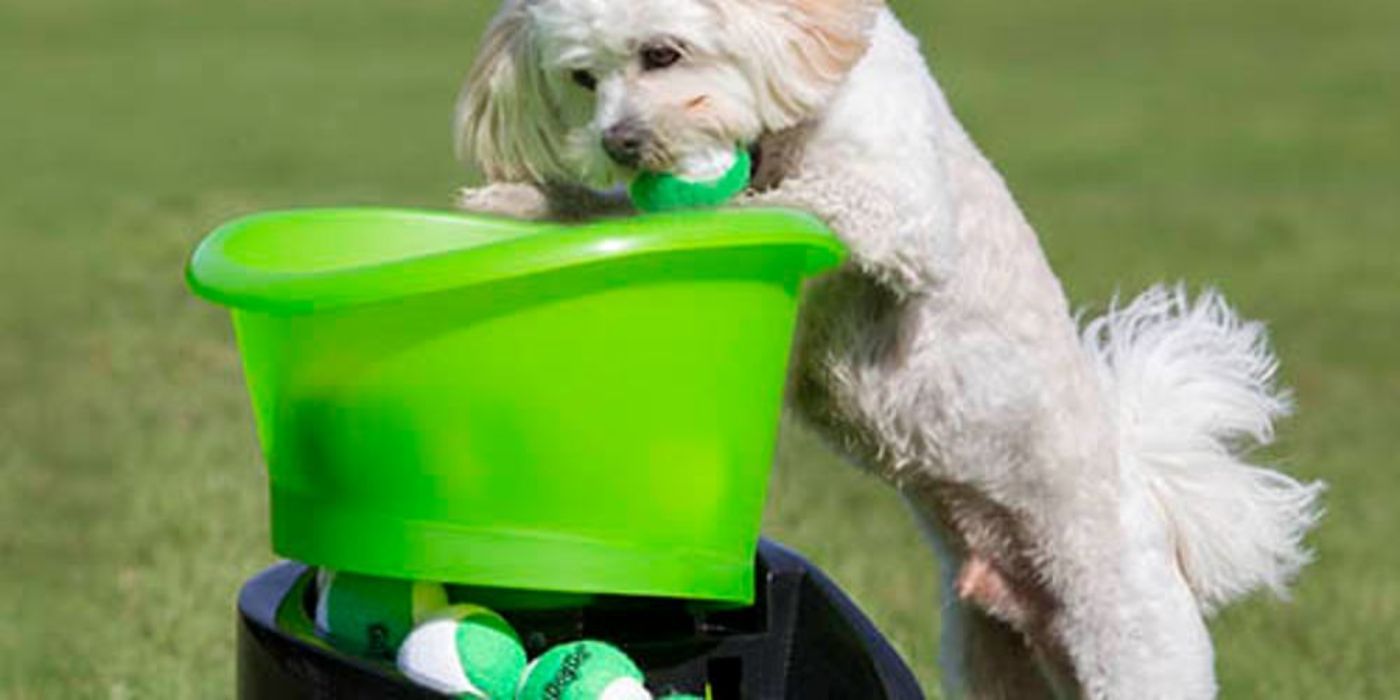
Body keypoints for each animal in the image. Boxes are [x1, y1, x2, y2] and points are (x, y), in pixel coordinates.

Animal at [450, 2, 1321, 697]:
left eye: (662, 53)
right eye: (582, 77)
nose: (622, 141)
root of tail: (1155, 499)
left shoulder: (896, 209)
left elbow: (790, 203)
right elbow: (620, 212)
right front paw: (526, 200)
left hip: (1127, 637)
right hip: (992, 656)